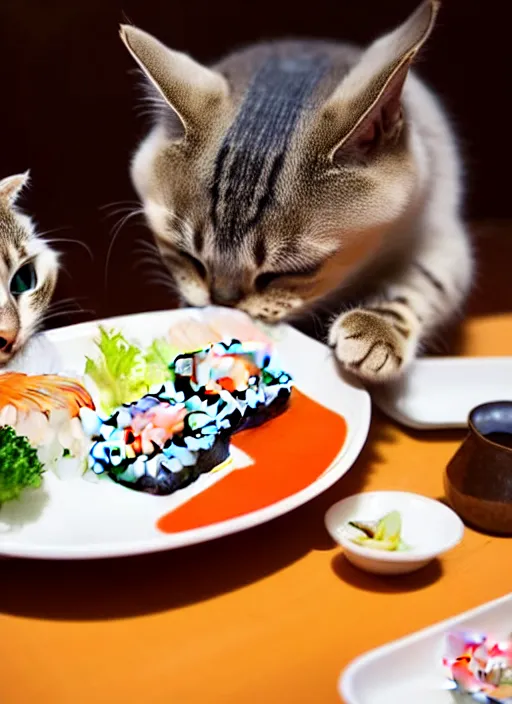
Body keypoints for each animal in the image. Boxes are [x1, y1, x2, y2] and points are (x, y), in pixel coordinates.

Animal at [120, 0, 472, 382]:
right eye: (188, 256)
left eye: (288, 272)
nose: (223, 302)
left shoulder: (441, 233)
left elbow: (422, 284)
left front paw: (376, 329)